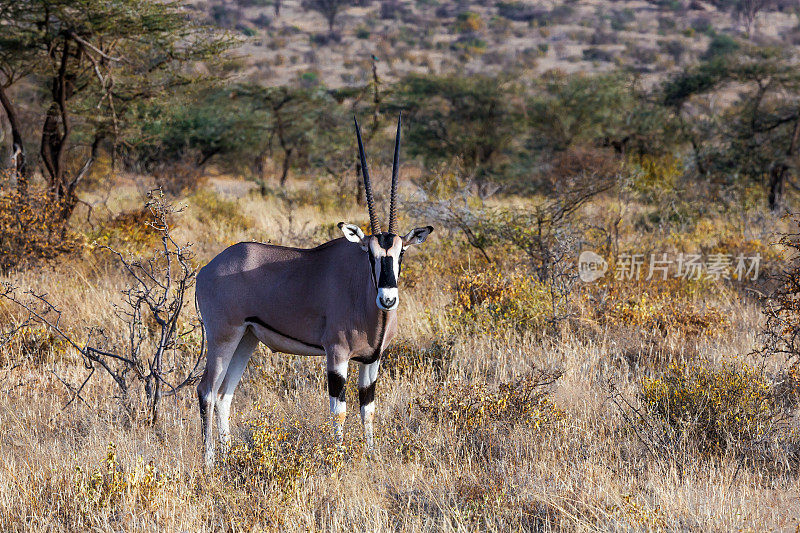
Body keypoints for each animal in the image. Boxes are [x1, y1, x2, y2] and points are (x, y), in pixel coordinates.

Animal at [195, 114, 432, 464]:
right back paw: (210, 462)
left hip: (246, 339)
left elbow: (368, 409)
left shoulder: (372, 360)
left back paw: (227, 457)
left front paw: (372, 455)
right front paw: (339, 457)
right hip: (223, 336)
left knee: (225, 394)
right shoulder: (337, 355)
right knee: (207, 391)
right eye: (369, 253)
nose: (387, 299)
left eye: (401, 252)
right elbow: (339, 410)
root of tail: (206, 270)